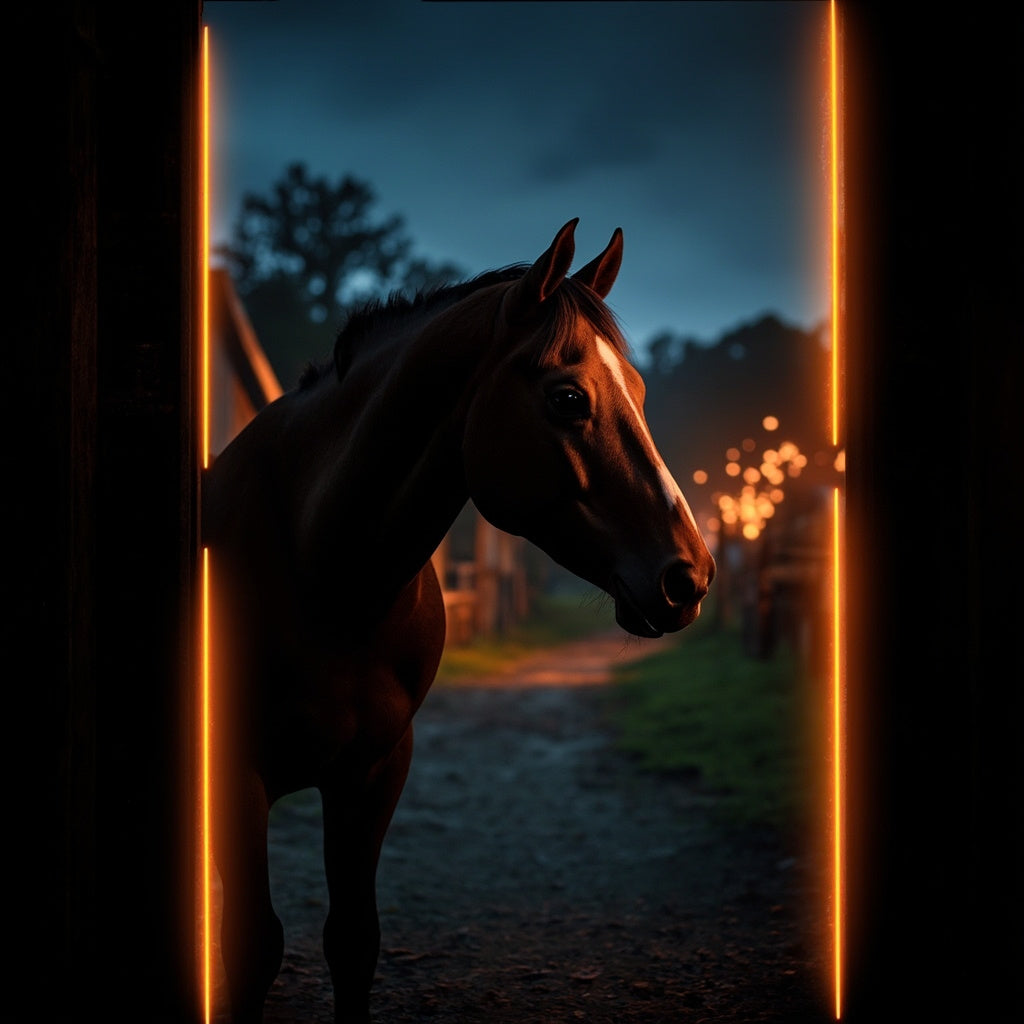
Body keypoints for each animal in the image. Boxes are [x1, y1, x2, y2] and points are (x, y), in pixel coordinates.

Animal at [202, 219, 716, 1023]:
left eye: (635, 389)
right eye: (569, 396)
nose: (687, 576)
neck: (319, 568)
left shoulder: (375, 769)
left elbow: (354, 940)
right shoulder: (235, 770)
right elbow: (252, 946)